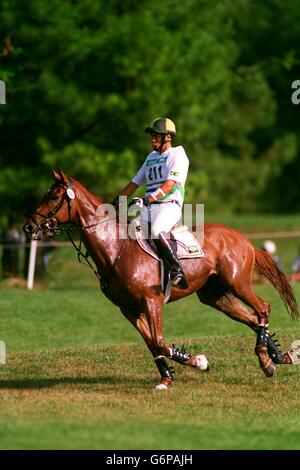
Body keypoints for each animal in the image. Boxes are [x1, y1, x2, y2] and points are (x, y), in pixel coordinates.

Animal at [24, 169, 300, 390]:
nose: (29, 227)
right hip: (215, 296)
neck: (116, 249)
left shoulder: (151, 301)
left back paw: (265, 359)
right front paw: (169, 376)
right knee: (253, 317)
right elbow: (153, 345)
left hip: (237, 283)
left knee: (263, 308)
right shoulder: (129, 309)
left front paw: (199, 362)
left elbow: (158, 341)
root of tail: (243, 239)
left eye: (53, 197)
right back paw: (280, 357)